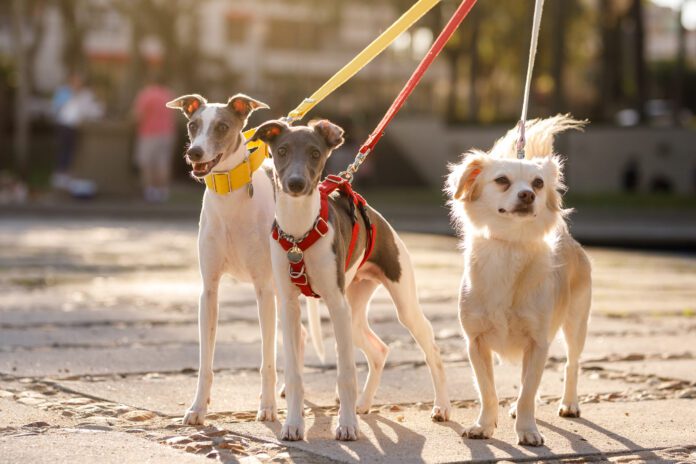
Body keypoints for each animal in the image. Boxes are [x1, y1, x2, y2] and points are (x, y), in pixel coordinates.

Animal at [169, 93, 324, 424]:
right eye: (193, 125)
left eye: (223, 126)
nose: (194, 152)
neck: (230, 197)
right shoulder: (209, 291)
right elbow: (205, 362)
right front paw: (198, 408)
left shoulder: (263, 290)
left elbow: (267, 360)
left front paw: (267, 407)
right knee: (300, 335)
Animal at [446, 115, 592, 446]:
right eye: (502, 180)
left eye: (538, 183)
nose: (529, 195)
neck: (510, 246)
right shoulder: (476, 343)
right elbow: (488, 390)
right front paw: (484, 425)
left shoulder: (538, 343)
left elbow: (528, 390)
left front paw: (527, 430)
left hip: (576, 322)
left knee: (571, 363)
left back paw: (570, 403)